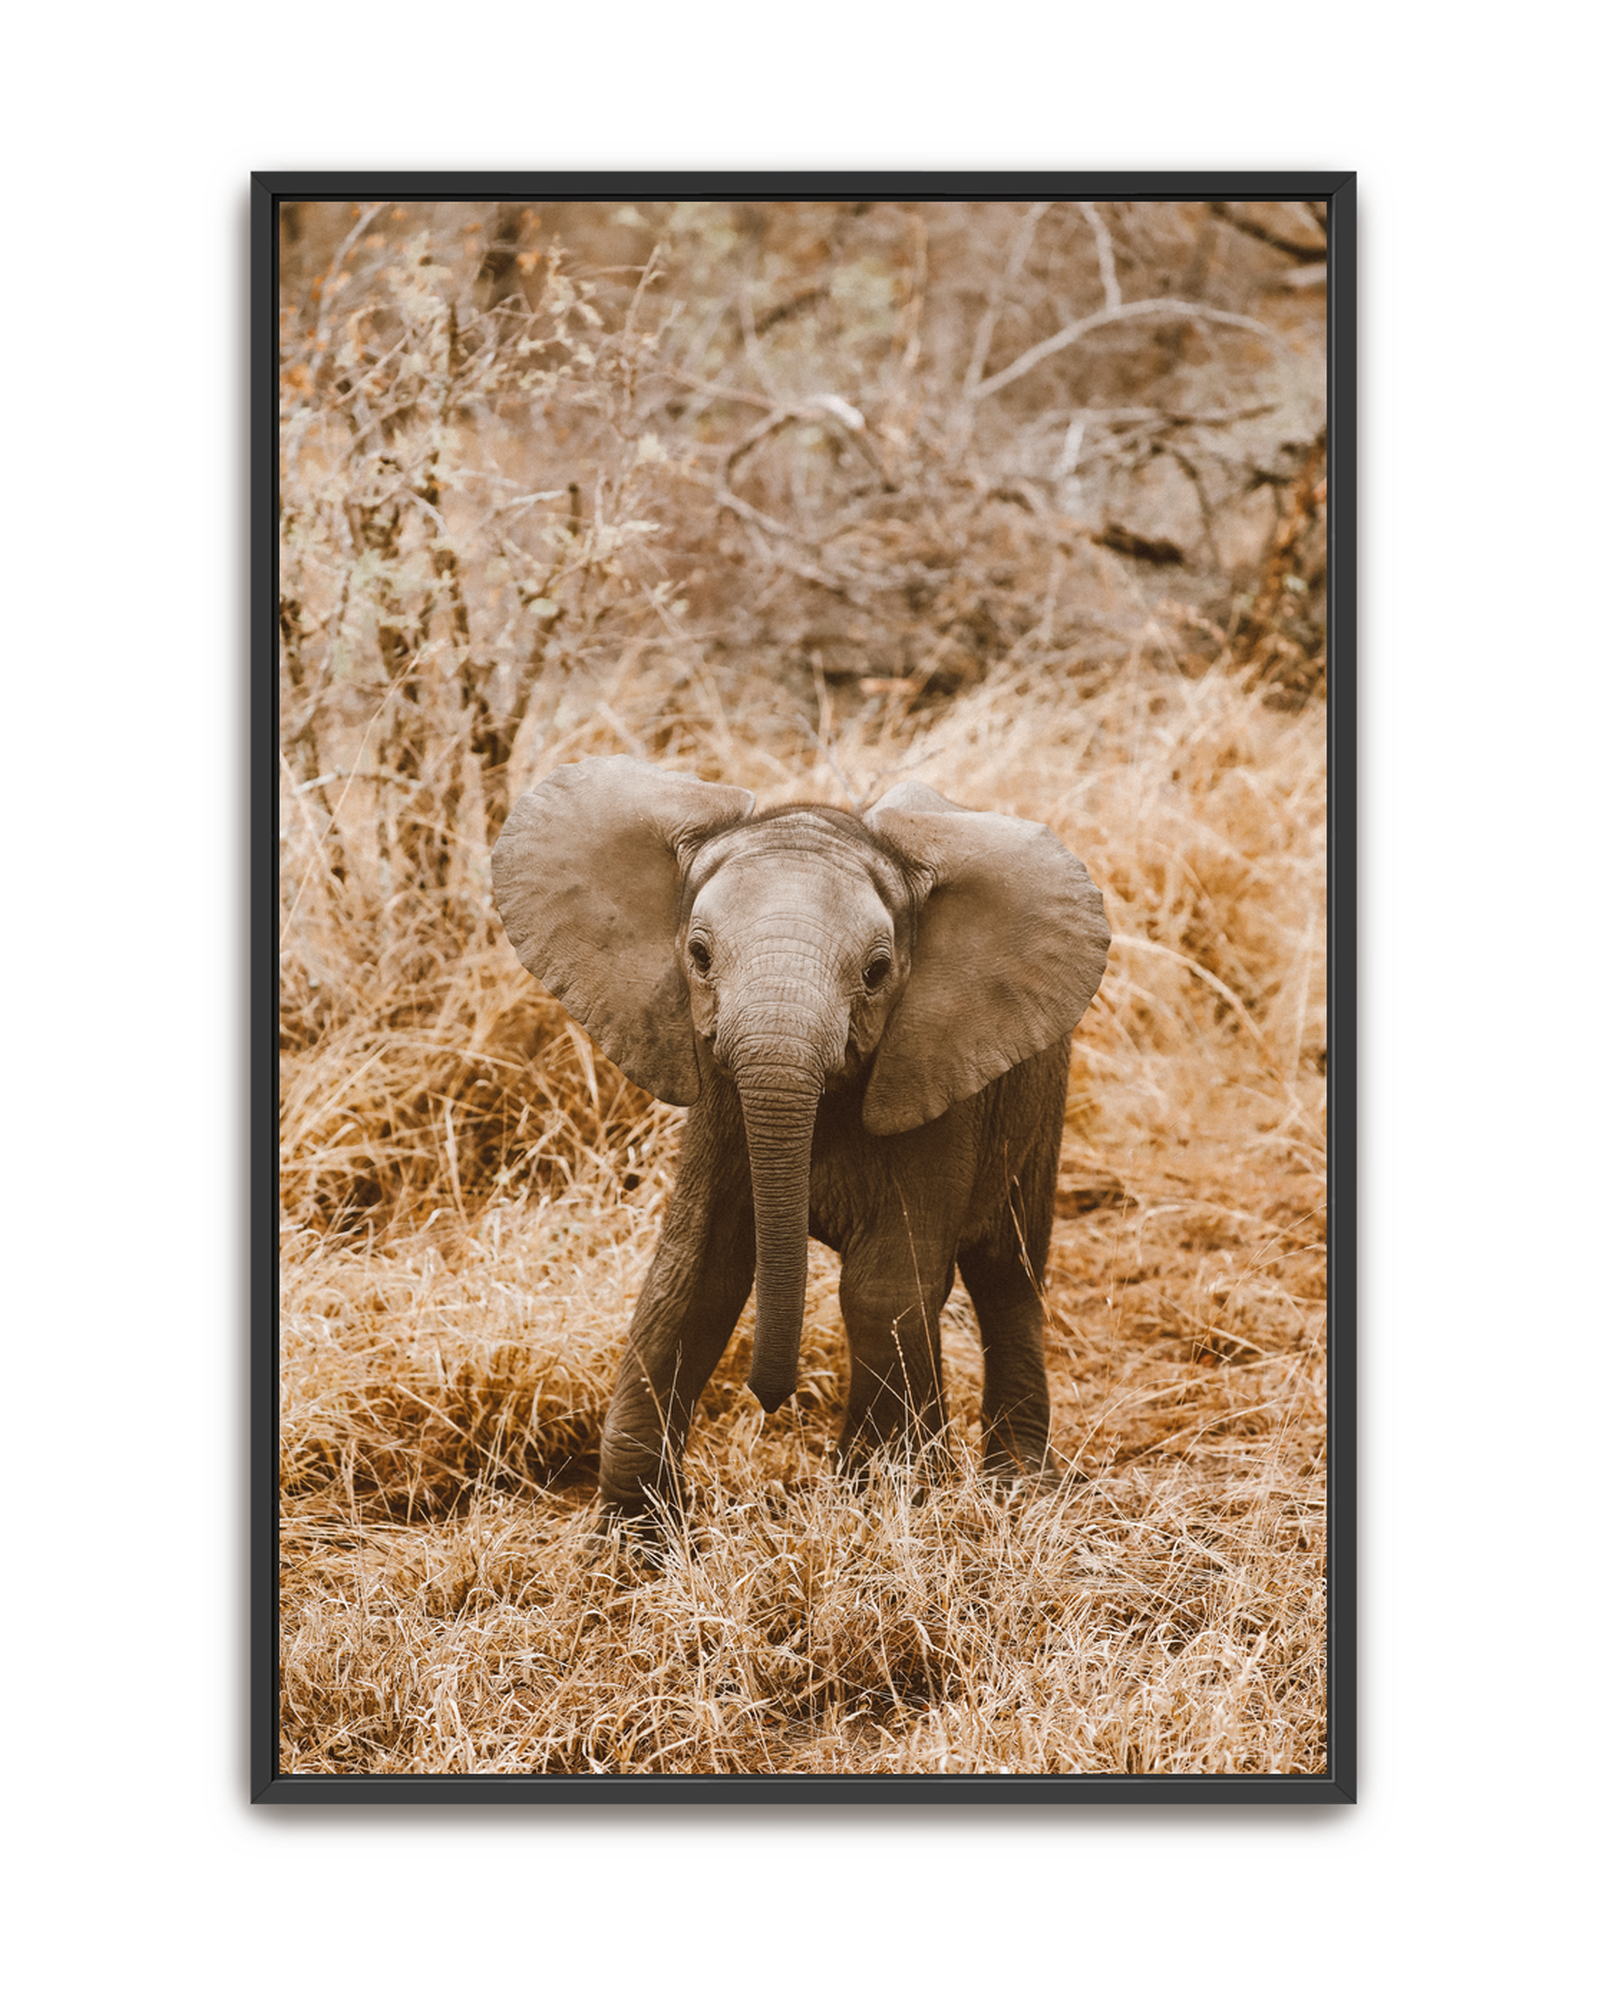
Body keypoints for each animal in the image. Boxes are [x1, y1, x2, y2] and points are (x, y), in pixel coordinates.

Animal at [490, 754, 1110, 1521]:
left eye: (877, 972)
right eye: (698, 954)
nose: (769, 1400)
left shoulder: (933, 1075)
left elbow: (883, 1285)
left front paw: (883, 1497)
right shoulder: (721, 1099)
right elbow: (694, 1274)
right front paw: (636, 1537)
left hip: (1040, 1095)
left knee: (1009, 1275)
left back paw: (1020, 1485)